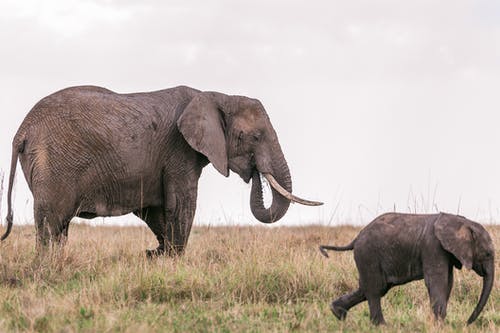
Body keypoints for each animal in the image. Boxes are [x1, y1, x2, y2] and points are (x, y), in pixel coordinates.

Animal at [1, 85, 322, 254]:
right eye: (253, 137)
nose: (254, 171)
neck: (215, 95)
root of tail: (22, 131)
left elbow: (156, 210)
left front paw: (157, 255)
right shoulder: (179, 151)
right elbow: (181, 205)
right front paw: (171, 259)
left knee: (58, 226)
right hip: (52, 162)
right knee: (51, 222)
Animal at [318, 213, 494, 324]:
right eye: (487, 254)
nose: (467, 323)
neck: (461, 221)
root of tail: (355, 238)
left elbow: (448, 282)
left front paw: (439, 322)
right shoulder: (433, 247)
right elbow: (437, 281)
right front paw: (439, 323)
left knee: (371, 288)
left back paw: (337, 313)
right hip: (368, 255)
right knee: (374, 289)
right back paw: (381, 326)